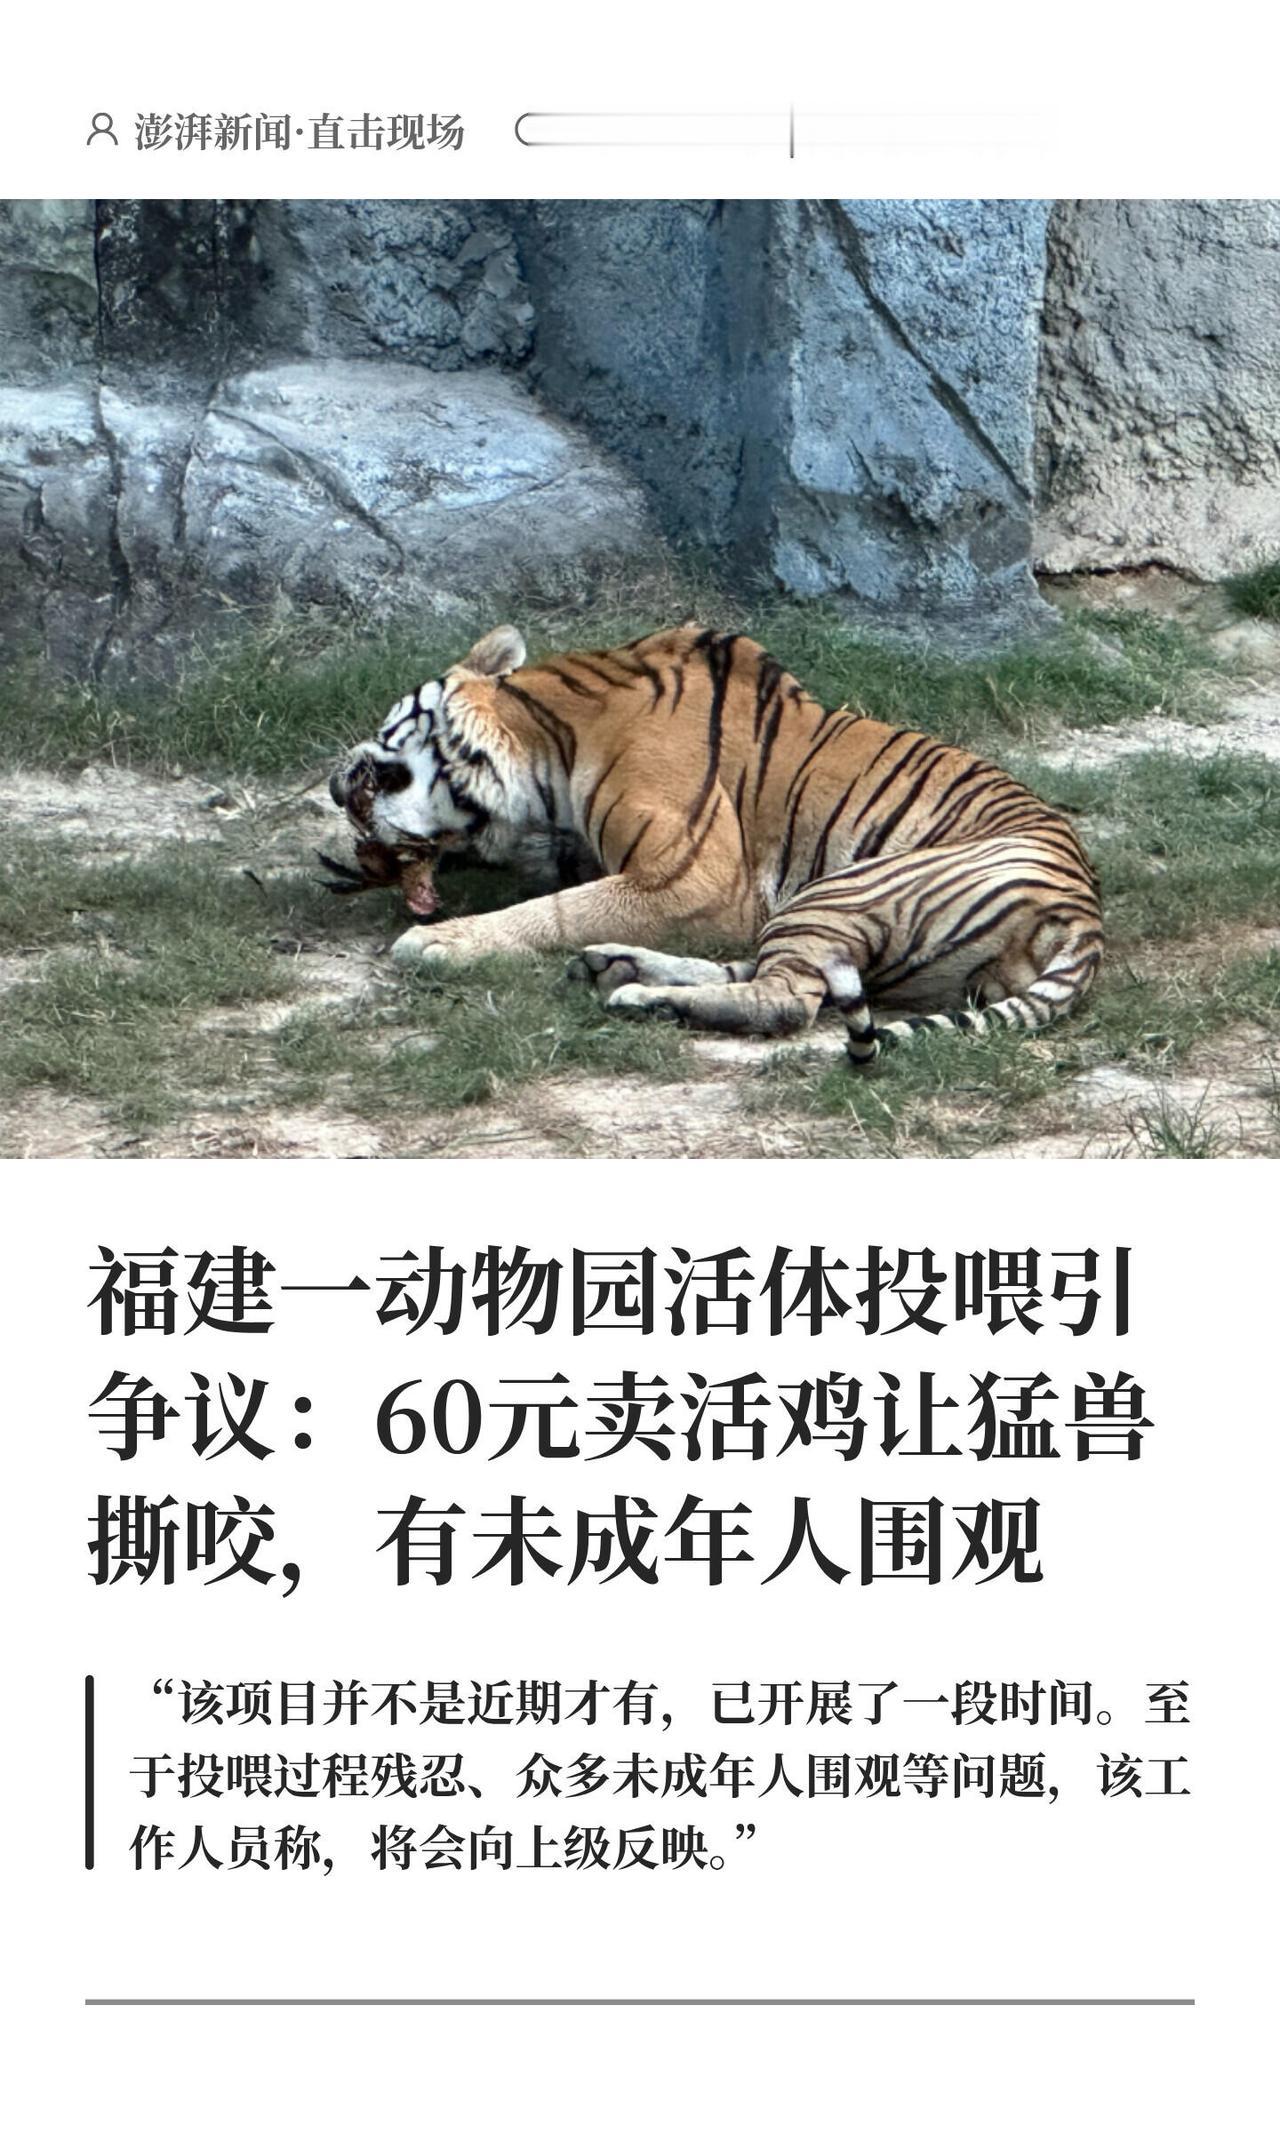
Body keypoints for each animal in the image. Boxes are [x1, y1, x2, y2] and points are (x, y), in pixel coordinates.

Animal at [328, 623, 1103, 1064]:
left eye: (386, 732)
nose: (338, 787)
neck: (551, 742)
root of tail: (1086, 920)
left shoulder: (696, 875)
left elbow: (560, 907)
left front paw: (439, 941)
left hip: (839, 888)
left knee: (789, 1000)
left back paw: (640, 996)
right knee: (769, 973)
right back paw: (618, 968)